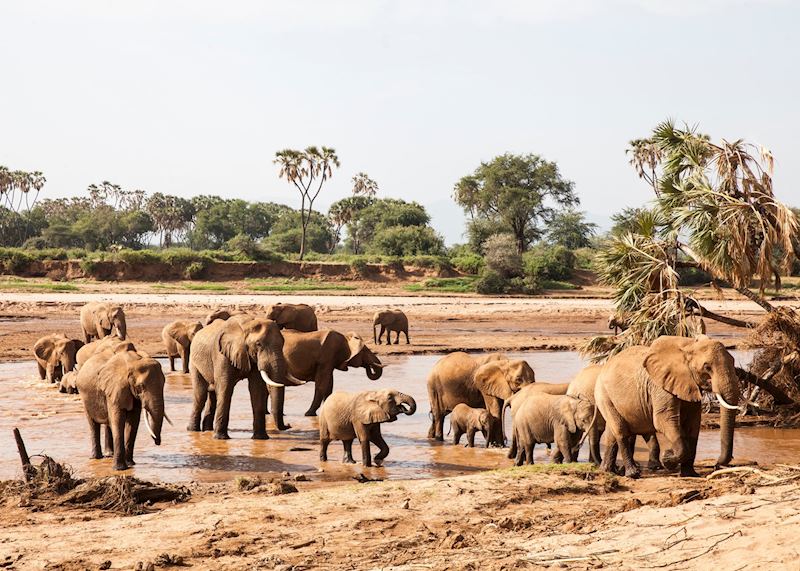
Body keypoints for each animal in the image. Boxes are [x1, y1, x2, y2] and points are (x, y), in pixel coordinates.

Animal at [595, 335, 740, 478]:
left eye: (733, 361)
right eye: (707, 367)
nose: (716, 464)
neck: (689, 346)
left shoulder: (689, 385)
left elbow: (693, 424)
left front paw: (690, 474)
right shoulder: (660, 386)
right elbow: (663, 420)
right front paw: (667, 458)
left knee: (612, 434)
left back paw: (608, 471)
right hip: (604, 395)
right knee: (620, 431)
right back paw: (632, 474)